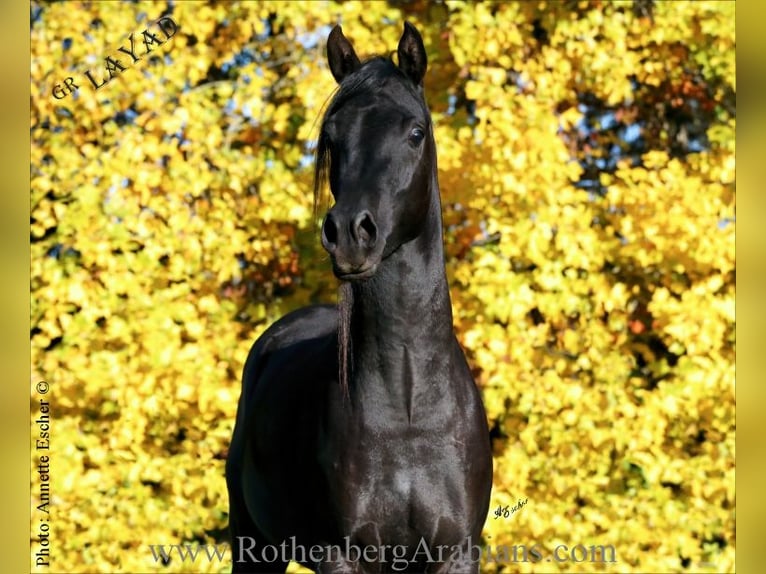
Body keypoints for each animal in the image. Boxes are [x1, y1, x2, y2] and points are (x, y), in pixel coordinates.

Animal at [226, 22, 493, 573]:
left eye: (415, 132)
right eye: (332, 137)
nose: (350, 232)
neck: (409, 412)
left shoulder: (458, 552)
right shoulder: (342, 555)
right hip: (253, 545)